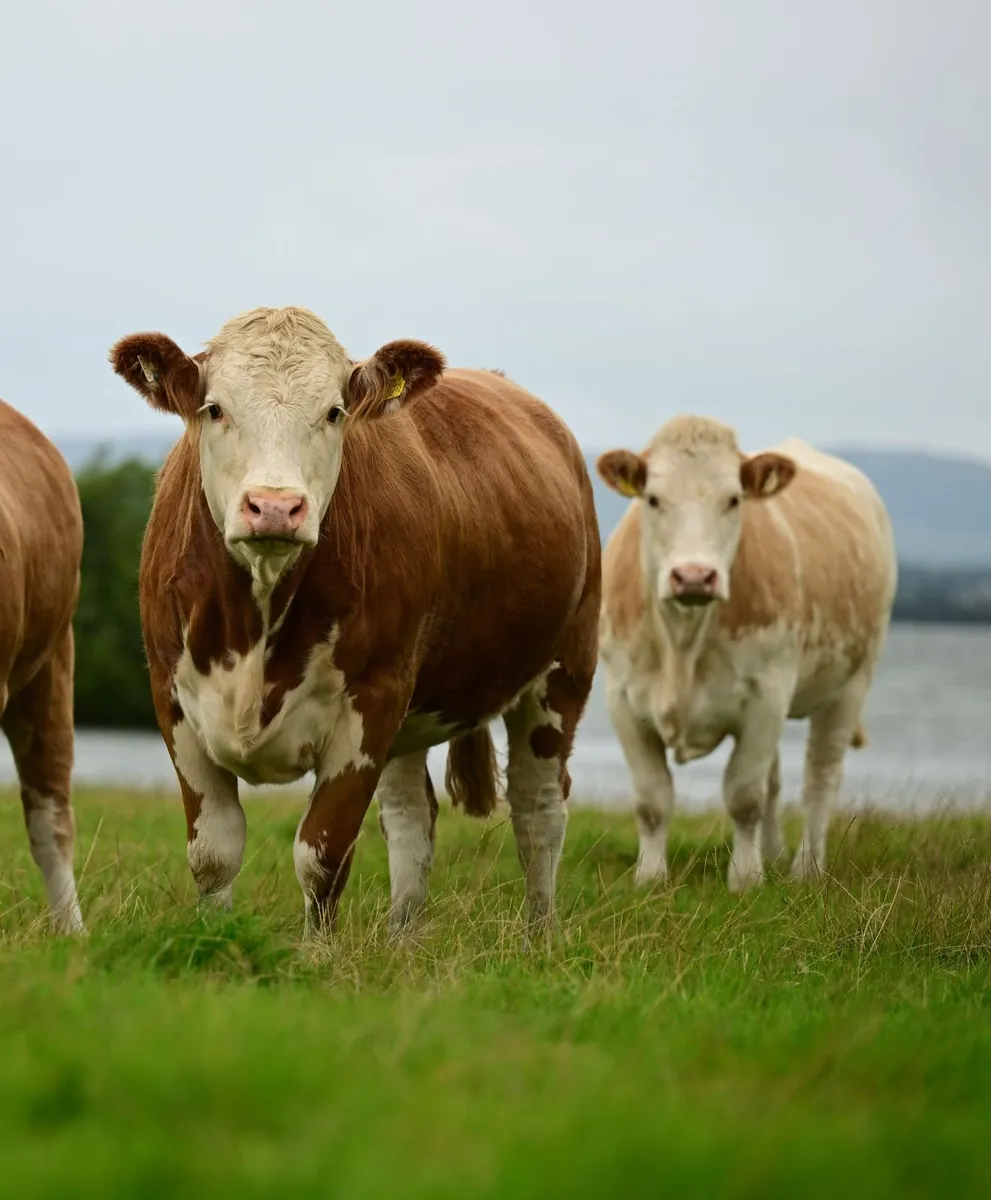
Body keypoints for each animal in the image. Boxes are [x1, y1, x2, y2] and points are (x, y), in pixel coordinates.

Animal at [110, 307, 600, 935]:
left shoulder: (371, 702)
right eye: (214, 408)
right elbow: (214, 854)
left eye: (334, 412)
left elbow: (322, 855)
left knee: (538, 813)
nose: (275, 507)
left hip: (562, 673)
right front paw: (214, 938)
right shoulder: (172, 701)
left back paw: (539, 940)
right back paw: (402, 940)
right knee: (413, 814)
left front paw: (316, 953)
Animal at [596, 415, 896, 892]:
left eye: (733, 499)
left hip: (852, 682)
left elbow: (744, 795)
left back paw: (806, 868)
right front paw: (650, 877)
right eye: (654, 499)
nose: (694, 576)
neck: (681, 641)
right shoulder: (622, 697)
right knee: (776, 778)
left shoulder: (766, 696)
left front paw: (745, 878)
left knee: (820, 776)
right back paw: (772, 854)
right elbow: (651, 798)